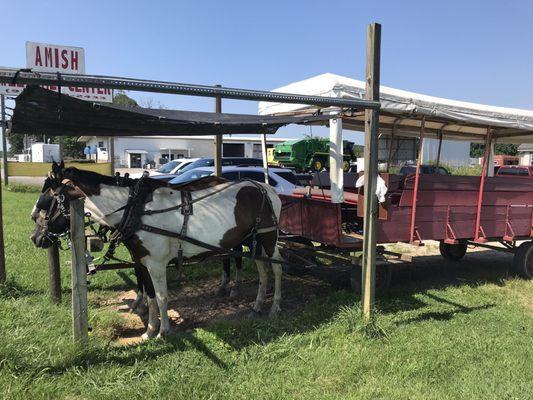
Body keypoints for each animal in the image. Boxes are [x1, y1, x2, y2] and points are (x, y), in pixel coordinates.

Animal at [30, 164, 282, 340]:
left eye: (47, 199)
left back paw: (275, 307)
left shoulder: (157, 264)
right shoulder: (142, 262)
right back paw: (257, 306)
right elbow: (150, 296)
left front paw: (163, 331)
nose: (35, 237)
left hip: (268, 238)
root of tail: (265, 188)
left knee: (276, 267)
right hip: (253, 240)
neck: (135, 210)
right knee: (262, 271)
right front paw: (149, 330)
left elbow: (162, 297)